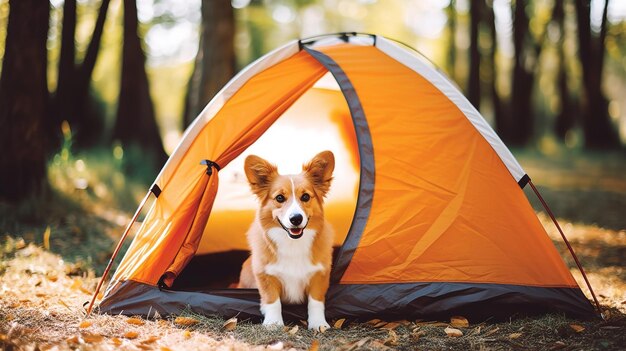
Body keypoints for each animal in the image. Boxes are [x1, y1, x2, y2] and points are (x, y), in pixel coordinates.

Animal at [236, 151, 334, 330]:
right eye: (280, 198)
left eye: (305, 196)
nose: (296, 218)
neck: (292, 243)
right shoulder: (266, 275)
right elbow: (272, 301)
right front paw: (273, 323)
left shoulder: (319, 275)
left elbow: (316, 302)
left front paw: (318, 323)